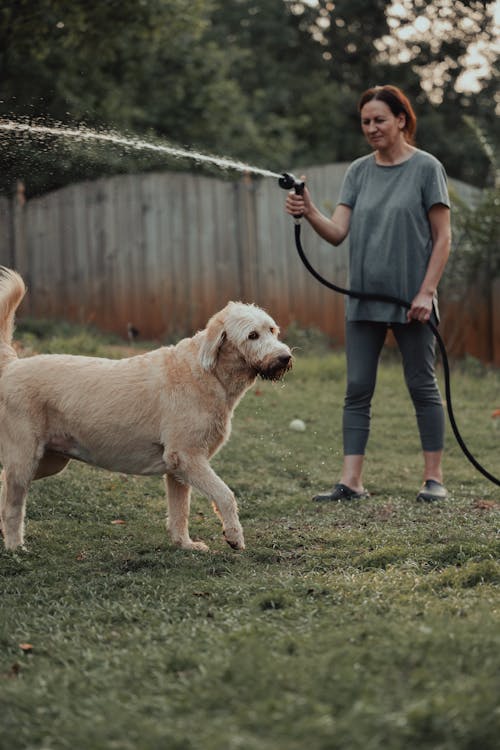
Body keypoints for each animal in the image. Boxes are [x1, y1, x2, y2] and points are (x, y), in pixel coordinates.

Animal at [0, 268, 292, 552]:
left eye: (272, 330)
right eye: (252, 335)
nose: (285, 357)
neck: (206, 375)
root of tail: (12, 365)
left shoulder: (178, 470)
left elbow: (180, 511)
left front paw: (185, 544)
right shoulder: (187, 457)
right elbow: (225, 495)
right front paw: (234, 536)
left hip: (49, 461)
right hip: (24, 459)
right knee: (12, 505)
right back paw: (15, 546)